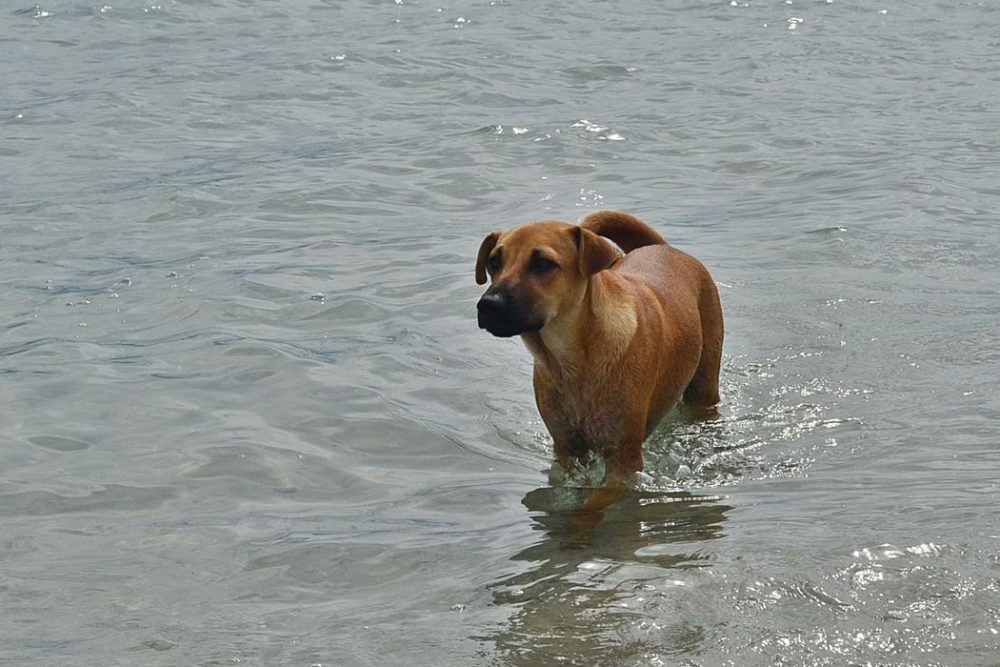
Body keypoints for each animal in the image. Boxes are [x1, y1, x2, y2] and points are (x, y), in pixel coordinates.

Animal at [472, 211, 724, 508]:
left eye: (543, 263)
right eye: (494, 261)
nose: (489, 304)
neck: (573, 362)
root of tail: (663, 247)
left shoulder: (623, 460)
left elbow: (593, 503)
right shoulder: (566, 448)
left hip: (705, 381)